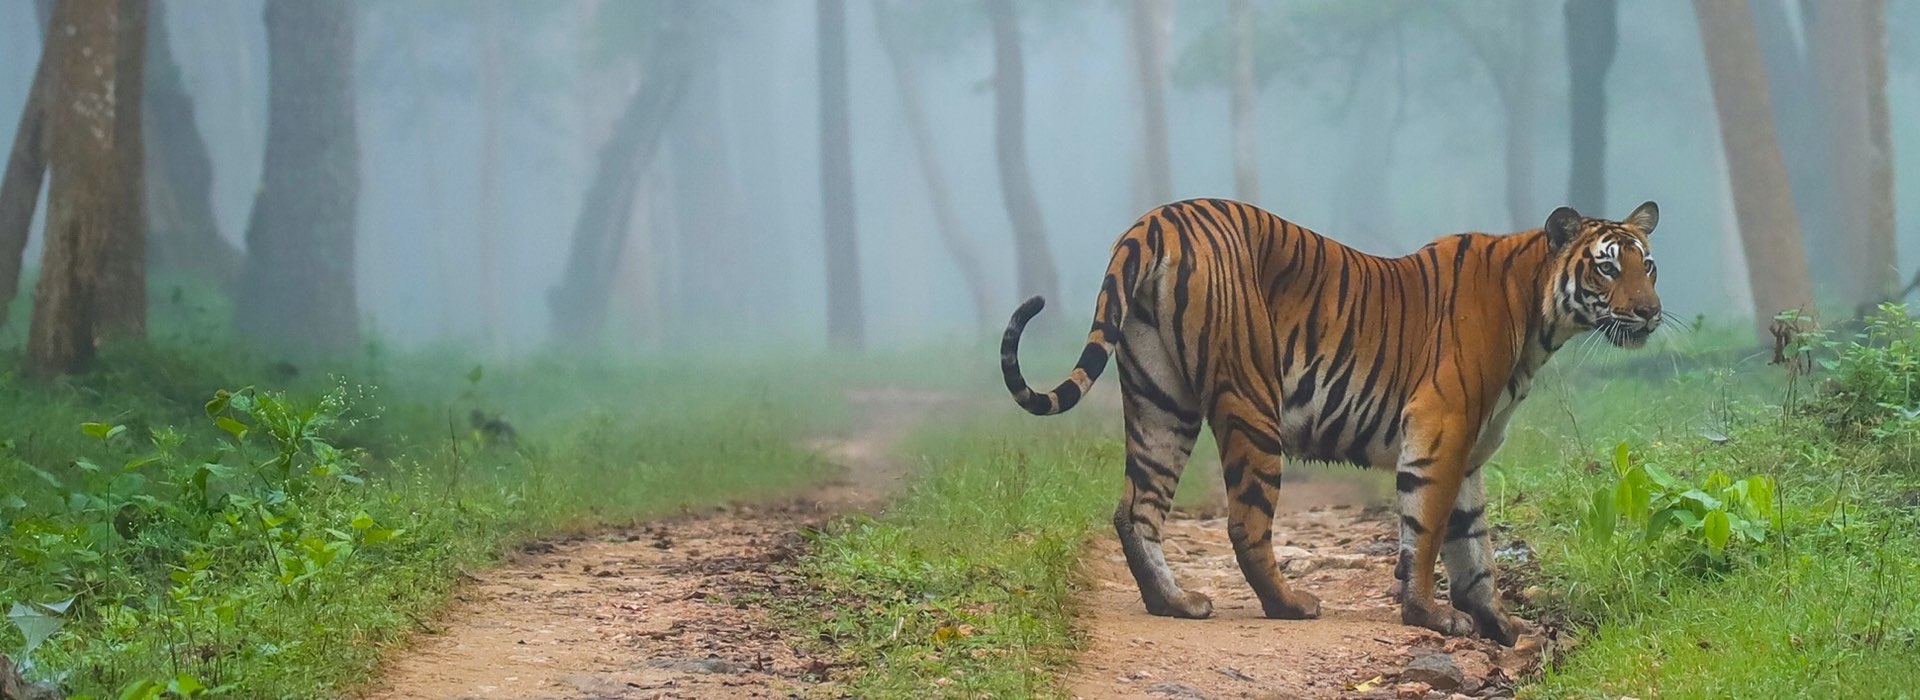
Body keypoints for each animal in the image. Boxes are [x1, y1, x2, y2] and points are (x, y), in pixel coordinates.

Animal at [998, 196, 1658, 644]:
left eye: (1646, 266)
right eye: (1606, 267)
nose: (1652, 313)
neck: (1538, 314)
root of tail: (1158, 218)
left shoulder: (1470, 450)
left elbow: (1474, 548)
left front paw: (1500, 622)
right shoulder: (1440, 427)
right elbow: (1427, 534)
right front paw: (1429, 615)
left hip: (1161, 401)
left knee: (1137, 508)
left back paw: (1176, 604)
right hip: (1251, 403)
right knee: (1245, 524)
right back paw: (1290, 604)